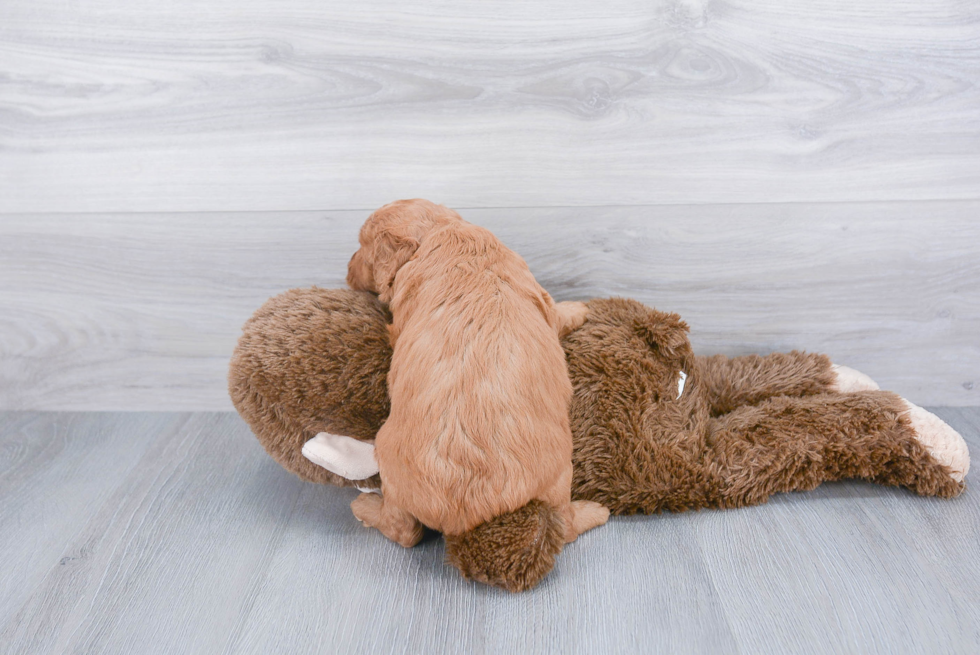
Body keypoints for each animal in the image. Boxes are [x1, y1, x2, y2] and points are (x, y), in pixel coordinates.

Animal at [344, 200, 604, 548]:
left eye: (362, 246)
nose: (347, 269)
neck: (440, 231)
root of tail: (466, 514)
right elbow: (557, 311)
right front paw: (579, 308)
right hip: (559, 473)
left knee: (405, 531)